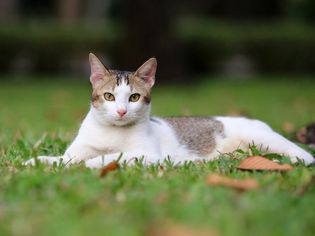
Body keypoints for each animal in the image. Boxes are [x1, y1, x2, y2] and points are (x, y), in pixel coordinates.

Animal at [25, 53, 315, 168]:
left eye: (133, 97)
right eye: (109, 96)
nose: (121, 111)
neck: (112, 132)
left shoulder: (146, 154)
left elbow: (110, 157)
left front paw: (91, 164)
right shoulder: (76, 151)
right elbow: (64, 159)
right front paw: (38, 161)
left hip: (264, 139)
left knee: (302, 154)